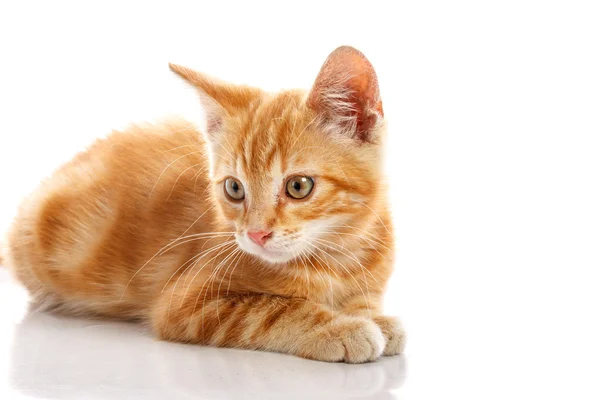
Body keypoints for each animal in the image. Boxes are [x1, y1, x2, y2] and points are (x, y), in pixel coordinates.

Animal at [3, 46, 404, 362]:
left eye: (298, 186)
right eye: (234, 188)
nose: (255, 235)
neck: (337, 256)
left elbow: (363, 301)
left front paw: (375, 318)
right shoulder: (185, 305)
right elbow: (274, 309)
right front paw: (342, 328)